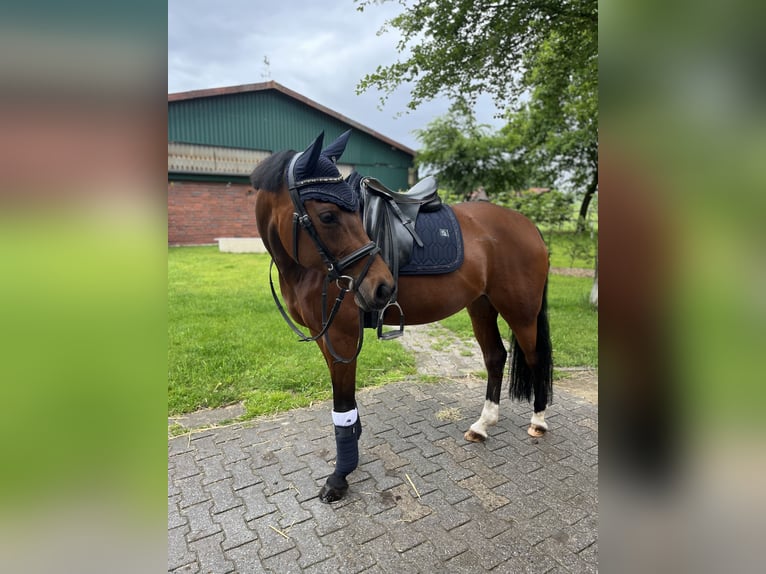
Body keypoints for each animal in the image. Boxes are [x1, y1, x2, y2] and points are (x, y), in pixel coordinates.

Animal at [250, 131, 553, 503]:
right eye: (328, 216)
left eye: (348, 212)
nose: (382, 287)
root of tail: (528, 225)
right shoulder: (324, 336)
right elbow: (346, 402)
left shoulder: (341, 336)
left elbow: (342, 403)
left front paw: (339, 476)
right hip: (481, 305)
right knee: (496, 357)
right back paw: (482, 426)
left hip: (520, 311)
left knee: (535, 357)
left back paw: (538, 421)